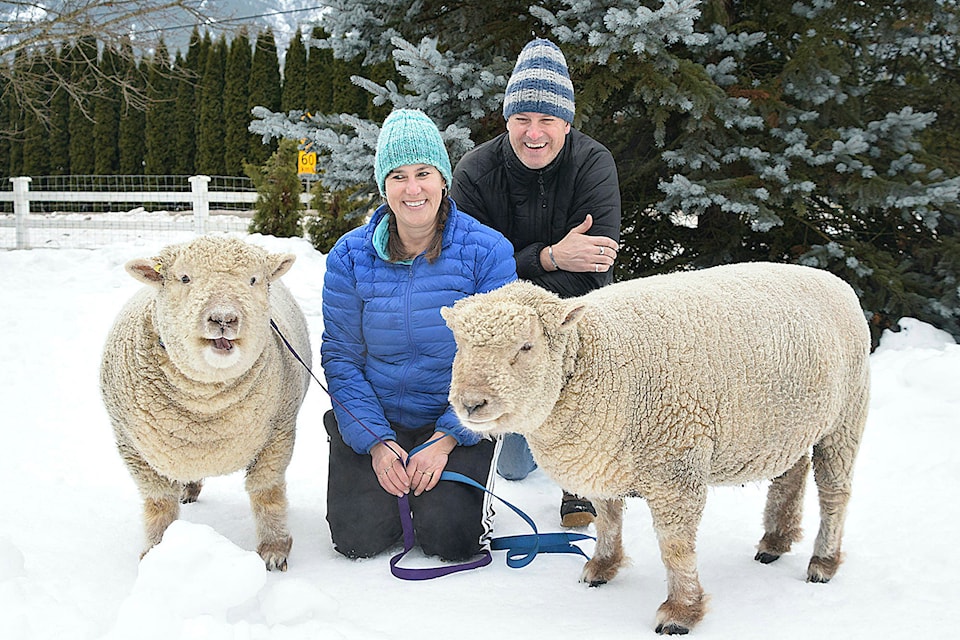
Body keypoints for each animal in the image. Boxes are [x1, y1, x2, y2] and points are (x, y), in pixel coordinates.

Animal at [101, 235, 312, 568]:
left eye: (254, 279)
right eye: (184, 278)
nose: (224, 318)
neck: (206, 406)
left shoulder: (277, 438)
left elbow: (266, 493)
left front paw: (274, 549)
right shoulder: (135, 451)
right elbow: (159, 504)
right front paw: (156, 553)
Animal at [442, 262, 872, 632]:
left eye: (526, 347)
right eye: (459, 345)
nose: (471, 404)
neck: (596, 359)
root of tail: (833, 280)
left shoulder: (675, 466)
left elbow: (675, 547)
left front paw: (681, 611)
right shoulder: (605, 459)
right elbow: (608, 518)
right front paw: (602, 567)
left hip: (845, 415)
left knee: (834, 492)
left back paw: (823, 561)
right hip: (789, 424)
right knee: (791, 474)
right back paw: (775, 541)